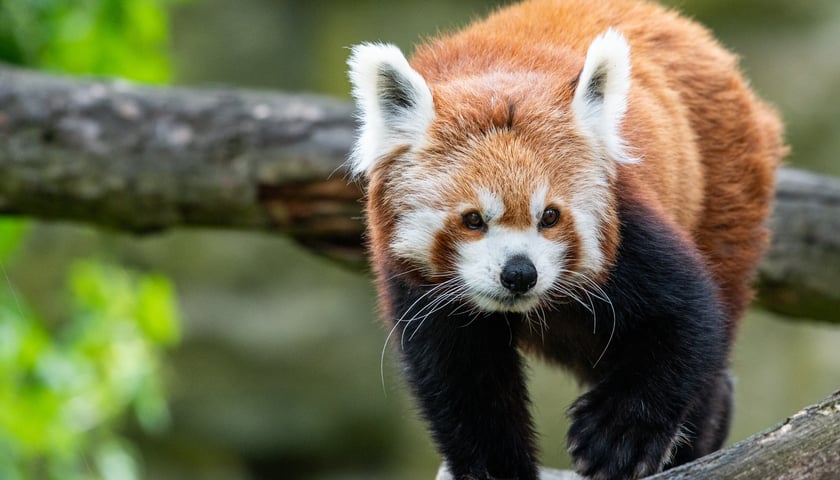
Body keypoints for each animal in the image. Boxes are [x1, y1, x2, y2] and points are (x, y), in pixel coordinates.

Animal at [344, 0, 784, 480]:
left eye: (549, 216)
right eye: (473, 220)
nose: (520, 273)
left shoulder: (627, 225)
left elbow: (690, 314)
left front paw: (618, 436)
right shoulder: (422, 290)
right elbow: (463, 382)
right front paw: (497, 467)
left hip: (721, 184)